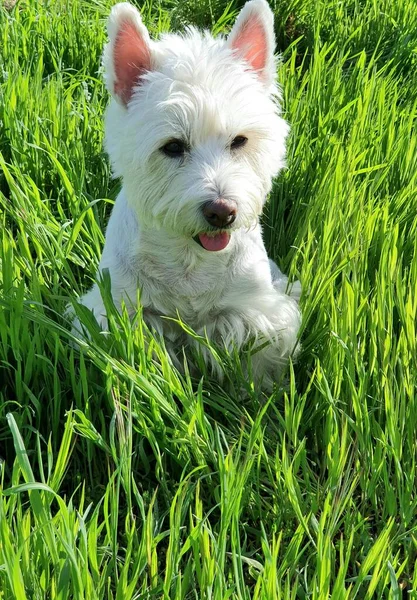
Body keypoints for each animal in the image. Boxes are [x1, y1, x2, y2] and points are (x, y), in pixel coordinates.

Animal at [73, 0, 300, 390]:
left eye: (239, 141)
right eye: (173, 147)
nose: (222, 211)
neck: (190, 259)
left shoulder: (259, 309)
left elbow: (260, 359)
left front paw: (258, 393)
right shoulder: (118, 307)